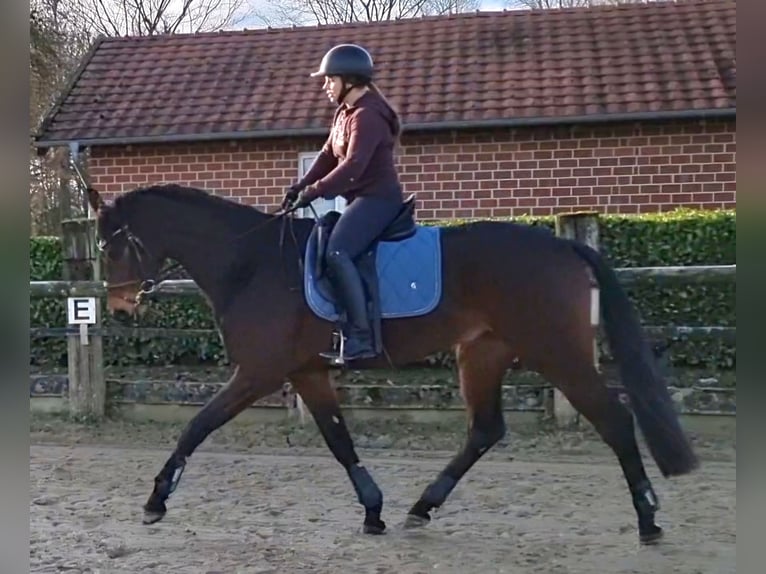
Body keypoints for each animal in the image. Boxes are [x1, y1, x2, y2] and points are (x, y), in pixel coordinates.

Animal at [86, 183, 698, 544]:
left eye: (113, 247)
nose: (119, 307)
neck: (251, 260)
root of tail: (563, 246)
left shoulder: (258, 373)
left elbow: (196, 426)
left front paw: (156, 500)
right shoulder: (306, 372)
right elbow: (338, 440)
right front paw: (374, 511)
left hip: (557, 352)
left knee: (614, 419)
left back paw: (649, 520)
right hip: (482, 353)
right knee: (485, 429)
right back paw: (422, 508)